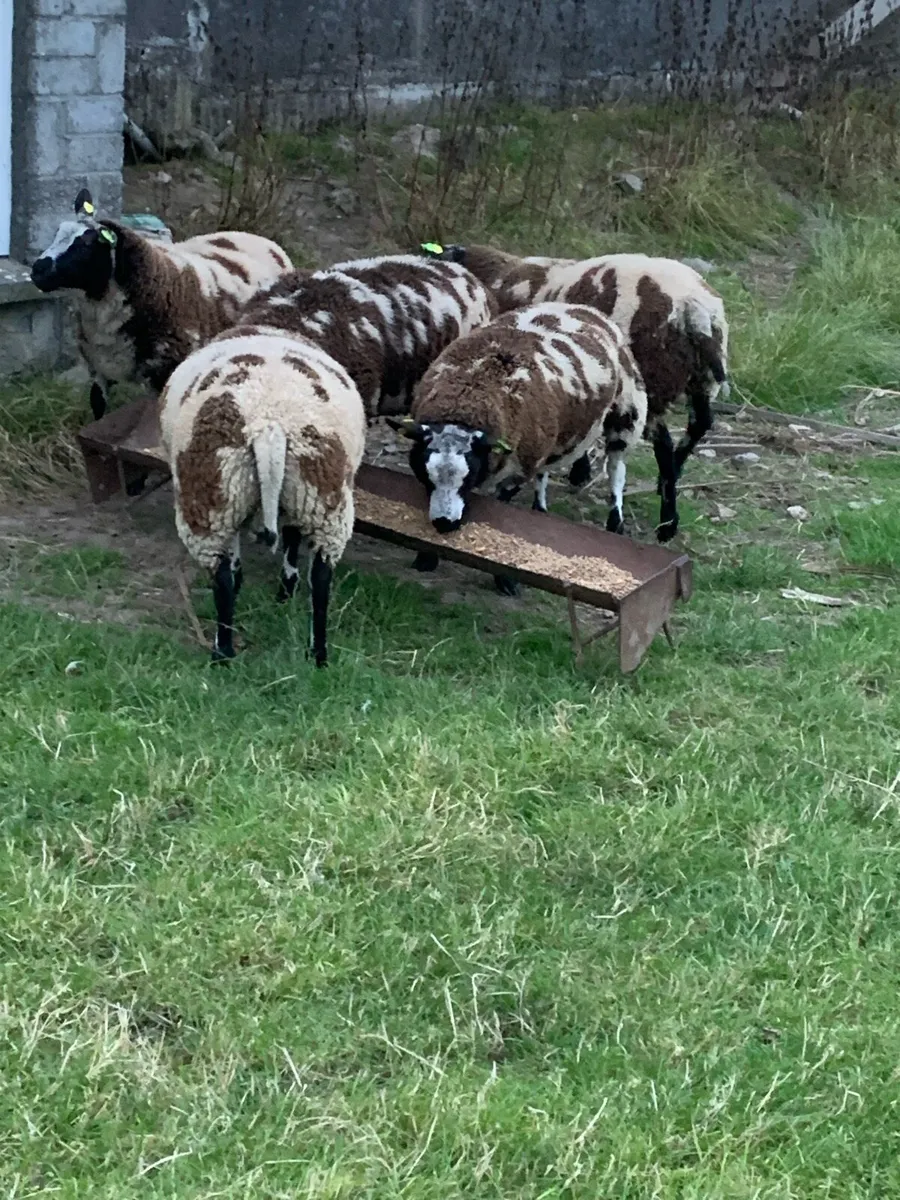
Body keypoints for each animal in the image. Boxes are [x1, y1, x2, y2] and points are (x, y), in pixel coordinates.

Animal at [30, 187, 294, 422]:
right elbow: (98, 409)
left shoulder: (165, 374)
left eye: (85, 245)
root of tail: (260, 239)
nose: (37, 270)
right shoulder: (98, 369)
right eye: (57, 233)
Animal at [158, 330, 366, 667]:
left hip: (211, 496)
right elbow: (291, 540)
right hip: (321, 497)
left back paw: (222, 652)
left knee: (221, 579)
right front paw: (286, 589)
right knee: (322, 578)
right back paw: (318, 654)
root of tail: (269, 425)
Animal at [389, 301, 648, 596]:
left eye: (469, 476)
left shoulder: (517, 472)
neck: (473, 389)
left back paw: (616, 523)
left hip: (626, 414)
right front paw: (426, 558)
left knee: (616, 469)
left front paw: (505, 579)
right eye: (424, 474)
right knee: (545, 471)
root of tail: (583, 308)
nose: (445, 523)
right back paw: (540, 509)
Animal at [420, 242, 728, 542]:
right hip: (701, 381)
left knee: (663, 443)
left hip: (648, 384)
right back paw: (671, 490)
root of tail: (694, 309)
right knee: (700, 424)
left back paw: (666, 522)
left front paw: (579, 471)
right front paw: (580, 471)